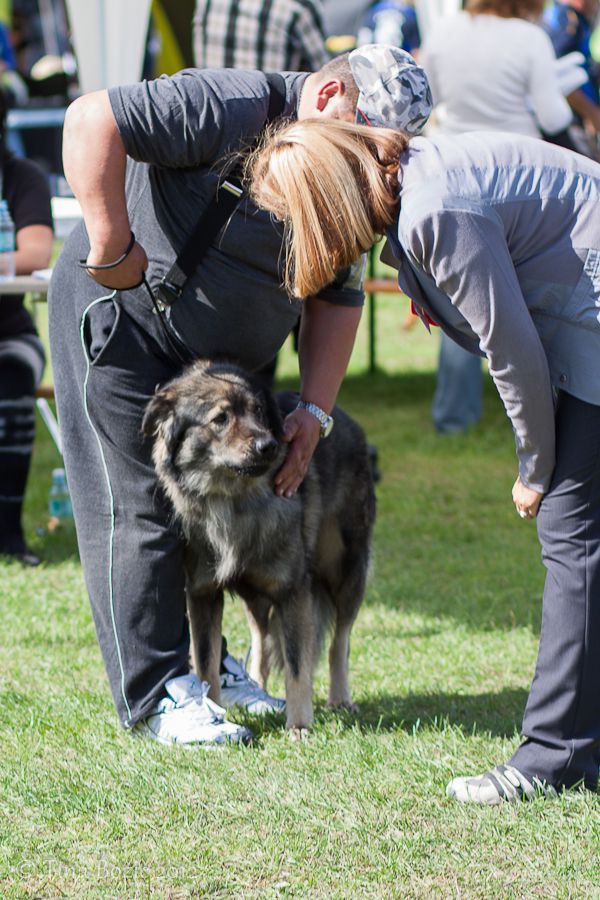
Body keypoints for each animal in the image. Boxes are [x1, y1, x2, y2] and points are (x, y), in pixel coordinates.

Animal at [142, 358, 376, 732]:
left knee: (339, 642)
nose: (268, 446)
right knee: (262, 642)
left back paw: (340, 698)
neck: (231, 502)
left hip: (345, 571)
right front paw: (213, 708)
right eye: (220, 418)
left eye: (259, 412)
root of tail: (348, 422)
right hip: (257, 595)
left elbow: (297, 665)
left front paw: (299, 725)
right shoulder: (202, 594)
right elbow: (206, 662)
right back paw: (258, 691)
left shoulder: (293, 592)